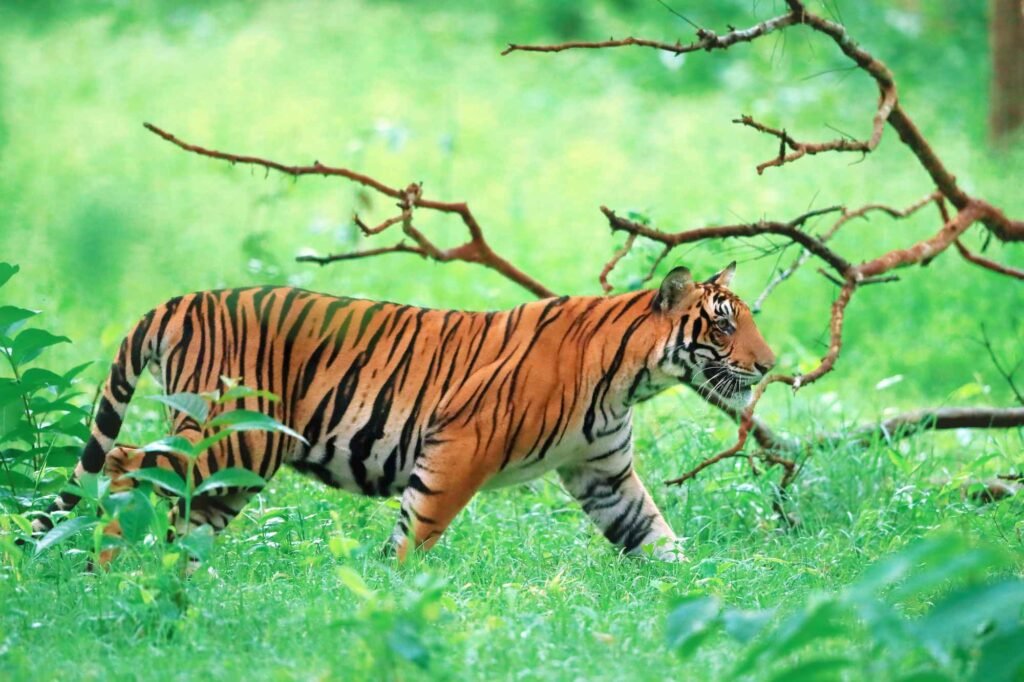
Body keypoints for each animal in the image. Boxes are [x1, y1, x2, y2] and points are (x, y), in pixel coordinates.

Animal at [34, 259, 774, 557]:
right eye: (723, 325)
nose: (769, 365)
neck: (632, 377)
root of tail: (181, 299)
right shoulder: (460, 446)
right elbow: (416, 533)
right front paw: (393, 593)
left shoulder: (605, 474)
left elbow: (656, 537)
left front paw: (704, 599)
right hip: (233, 440)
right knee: (124, 463)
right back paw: (106, 573)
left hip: (231, 468)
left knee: (179, 520)